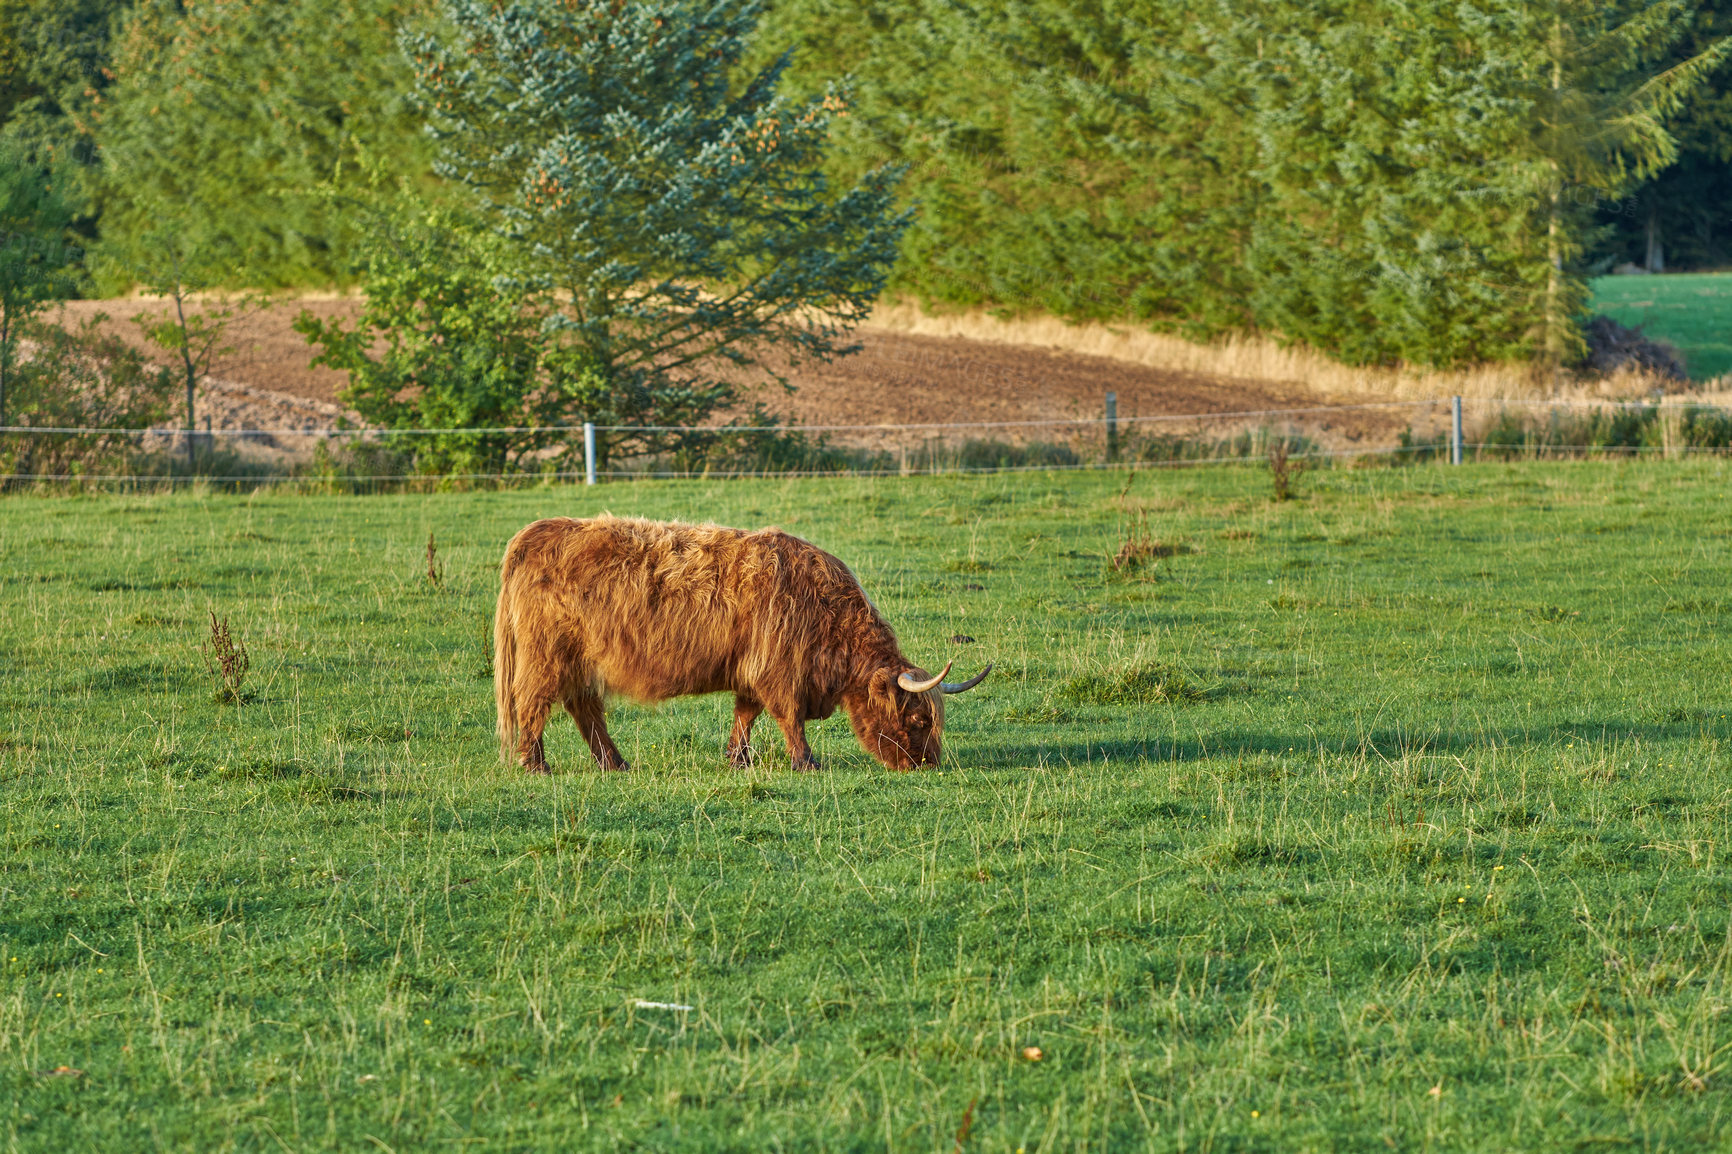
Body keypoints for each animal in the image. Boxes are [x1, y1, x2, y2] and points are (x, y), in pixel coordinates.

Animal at [495, 512, 997, 772]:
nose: (927, 763)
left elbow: (746, 713)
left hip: (579, 662)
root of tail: (536, 531)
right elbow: (788, 718)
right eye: (916, 719)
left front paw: (738, 759)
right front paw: (806, 763)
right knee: (534, 704)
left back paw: (614, 763)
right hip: (546, 656)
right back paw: (536, 764)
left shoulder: (752, 670)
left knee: (585, 710)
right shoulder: (778, 671)